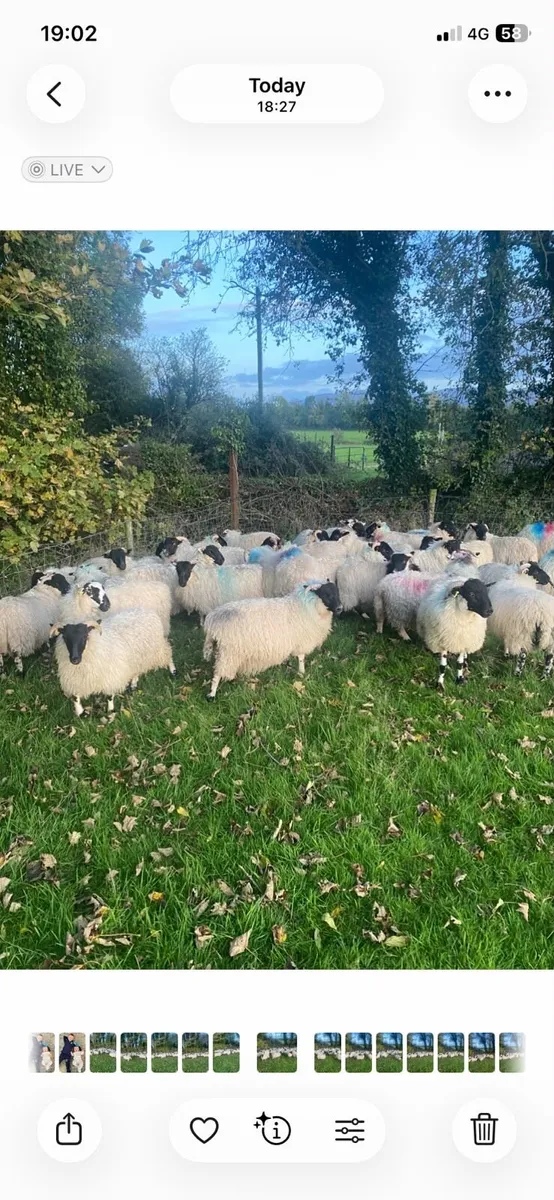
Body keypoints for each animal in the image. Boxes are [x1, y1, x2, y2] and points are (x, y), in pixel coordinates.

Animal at [202, 581, 342, 698]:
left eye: (337, 592)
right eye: (326, 594)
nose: (340, 608)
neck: (307, 606)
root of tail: (212, 621)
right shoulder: (302, 641)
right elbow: (301, 658)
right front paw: (302, 673)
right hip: (229, 652)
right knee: (217, 673)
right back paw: (212, 694)